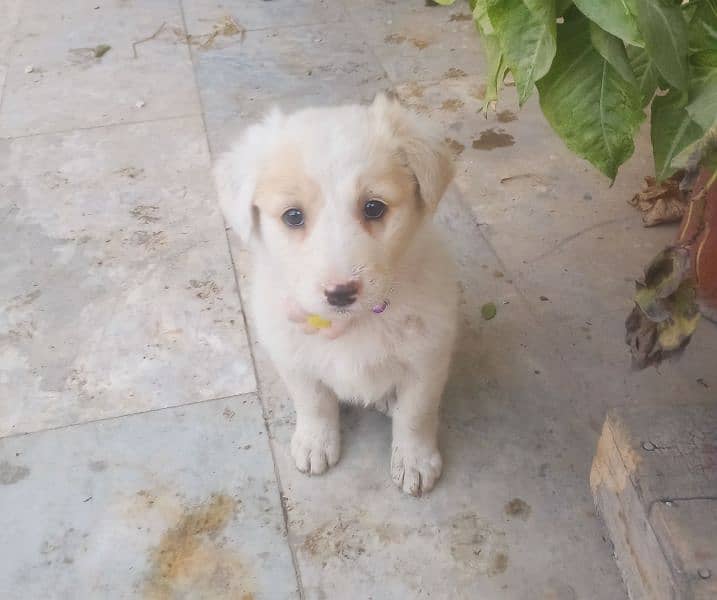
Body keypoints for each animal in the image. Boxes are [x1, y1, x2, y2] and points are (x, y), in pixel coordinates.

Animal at [215, 95, 456, 496]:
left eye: (373, 208)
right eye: (293, 216)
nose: (340, 293)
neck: (353, 325)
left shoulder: (428, 358)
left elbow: (415, 414)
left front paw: (415, 460)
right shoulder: (292, 356)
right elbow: (313, 403)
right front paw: (315, 442)